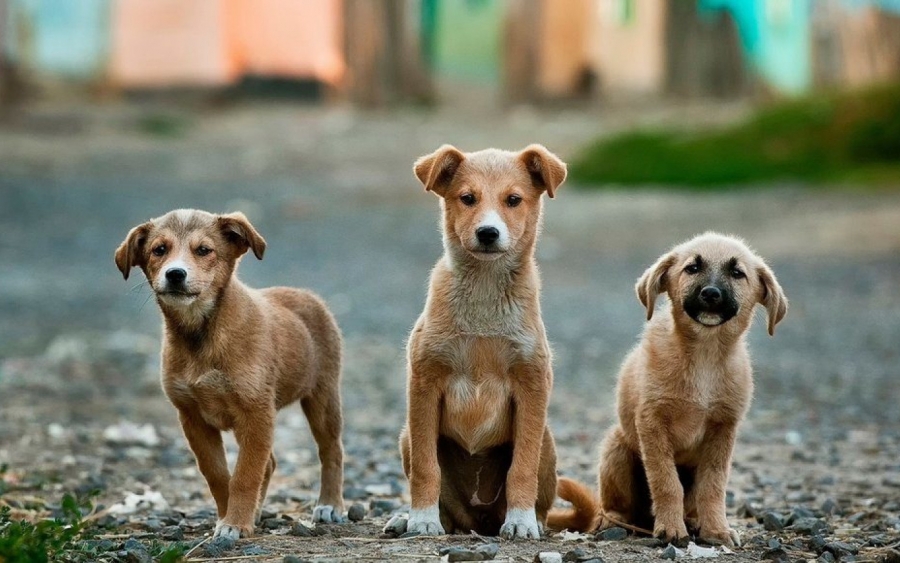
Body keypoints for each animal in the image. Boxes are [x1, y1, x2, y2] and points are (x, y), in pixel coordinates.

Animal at [115, 209, 344, 540]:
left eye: (203, 250)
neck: (201, 335)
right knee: (270, 463)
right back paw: (258, 512)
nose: (175, 274)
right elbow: (219, 475)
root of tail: (306, 295)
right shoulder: (192, 417)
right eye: (159, 250)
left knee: (331, 451)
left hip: (323, 397)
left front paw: (235, 523)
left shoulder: (256, 412)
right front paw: (230, 517)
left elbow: (245, 474)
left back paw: (330, 505)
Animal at [396, 143, 568, 540]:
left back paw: (532, 520)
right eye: (467, 198)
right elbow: (427, 468)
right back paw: (407, 519)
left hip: (547, 441)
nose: (488, 232)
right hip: (406, 436)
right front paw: (422, 519)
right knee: (446, 505)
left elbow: (522, 467)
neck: (485, 296)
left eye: (514, 200)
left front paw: (521, 521)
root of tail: (479, 521)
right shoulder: (424, 383)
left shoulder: (532, 385)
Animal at [544, 231, 784, 548]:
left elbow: (713, 486)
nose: (711, 293)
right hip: (616, 449)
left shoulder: (723, 429)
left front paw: (716, 529)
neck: (704, 356)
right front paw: (671, 528)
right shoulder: (652, 423)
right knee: (614, 507)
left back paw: (692, 521)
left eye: (737, 273)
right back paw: (614, 521)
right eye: (692, 268)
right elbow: (666, 482)